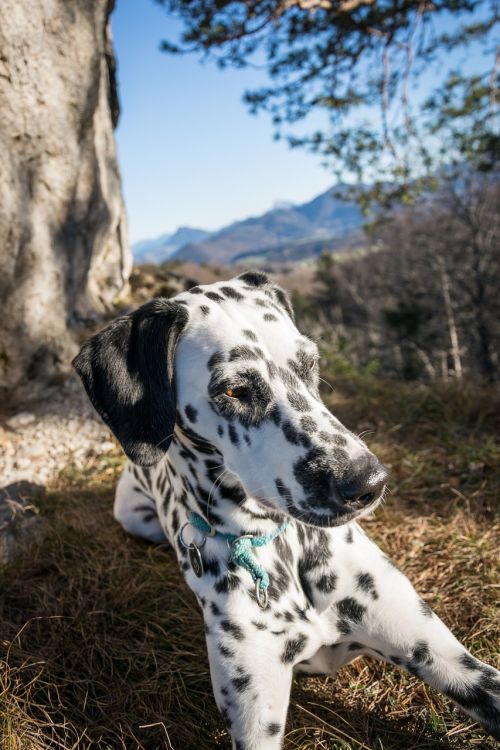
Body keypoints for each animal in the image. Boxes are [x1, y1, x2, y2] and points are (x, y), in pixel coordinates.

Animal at [74, 274, 500, 748]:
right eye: (234, 389)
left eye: (309, 363)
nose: (368, 482)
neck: (280, 549)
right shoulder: (256, 720)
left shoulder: (449, 659)